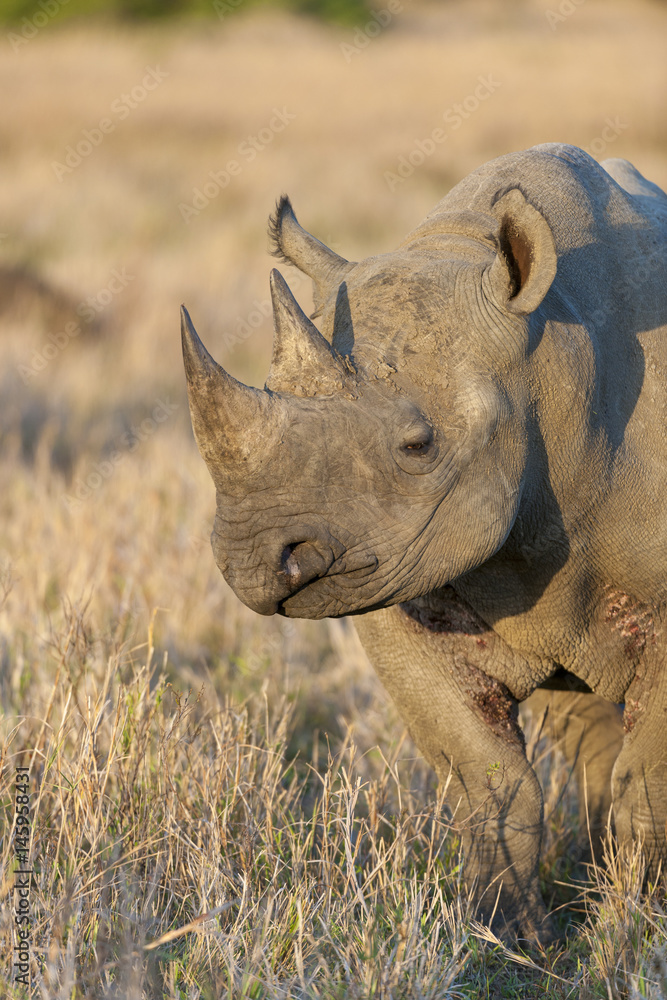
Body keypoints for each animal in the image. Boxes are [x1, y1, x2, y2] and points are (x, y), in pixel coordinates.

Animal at [180, 143, 667, 941]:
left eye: (419, 445)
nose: (252, 561)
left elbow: (649, 781)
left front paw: (635, 931)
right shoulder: (396, 573)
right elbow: (488, 783)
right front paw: (501, 934)